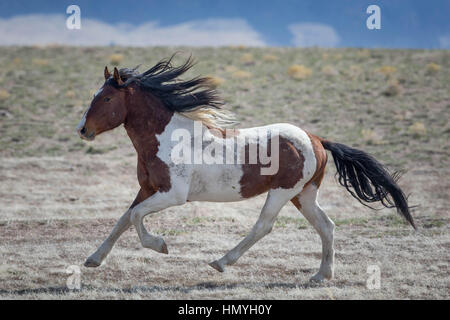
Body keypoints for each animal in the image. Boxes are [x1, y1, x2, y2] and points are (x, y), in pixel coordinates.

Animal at [76, 56, 414, 282]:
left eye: (107, 98)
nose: (83, 130)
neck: (167, 136)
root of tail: (316, 139)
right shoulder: (147, 189)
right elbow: (123, 219)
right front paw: (93, 259)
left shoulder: (173, 195)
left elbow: (134, 217)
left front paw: (160, 245)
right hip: (304, 194)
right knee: (326, 226)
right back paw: (321, 276)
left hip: (282, 192)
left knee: (263, 226)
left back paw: (222, 262)